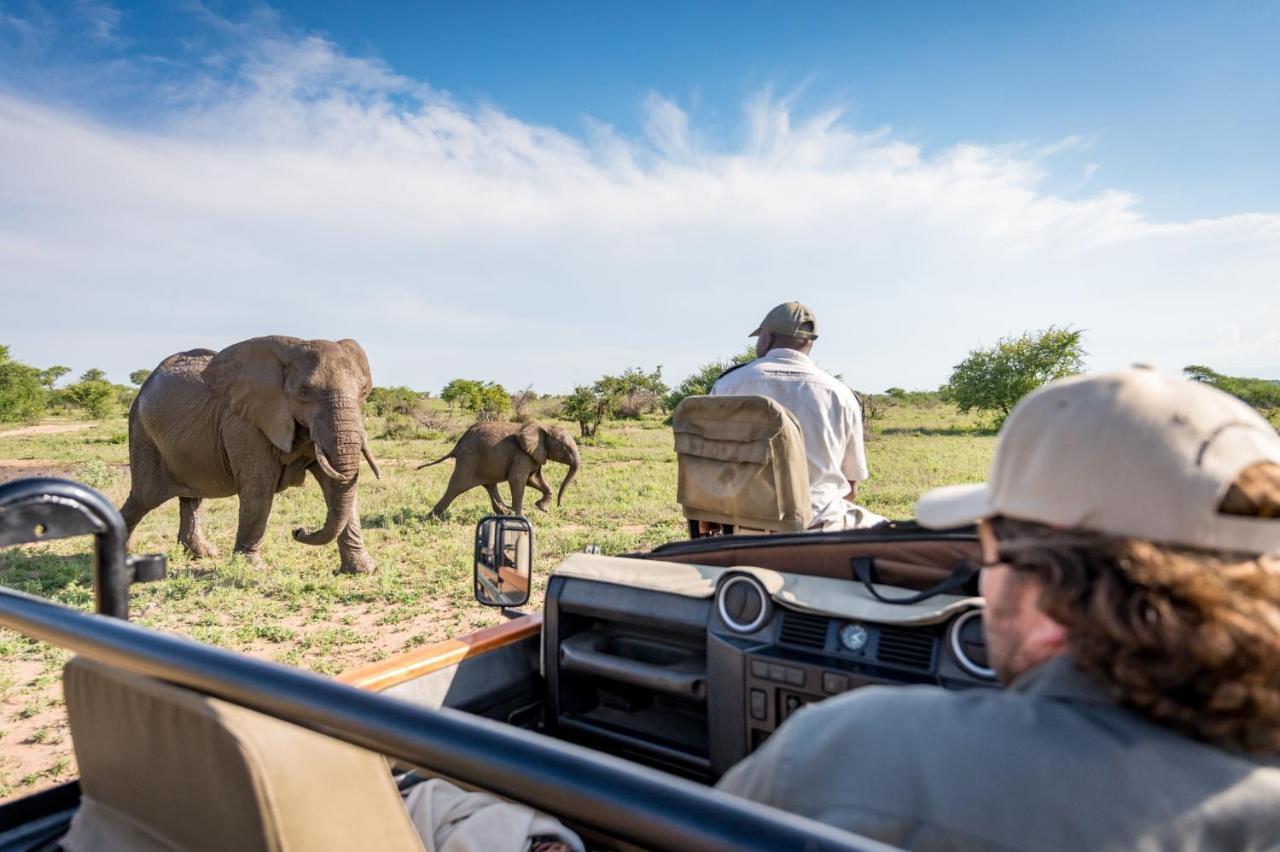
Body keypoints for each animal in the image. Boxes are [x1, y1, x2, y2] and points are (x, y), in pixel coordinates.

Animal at [121, 335, 381, 573]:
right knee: (145, 497)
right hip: (143, 432)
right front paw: (253, 568)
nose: (297, 530)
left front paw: (365, 569)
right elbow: (259, 487)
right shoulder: (245, 424)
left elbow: (336, 485)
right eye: (304, 392)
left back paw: (203, 554)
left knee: (191, 495)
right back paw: (123, 554)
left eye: (363, 391)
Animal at [419, 419, 581, 516]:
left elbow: (534, 480)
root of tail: (458, 444)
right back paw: (432, 519)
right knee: (456, 486)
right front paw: (521, 517)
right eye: (564, 448)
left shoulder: (535, 454)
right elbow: (517, 480)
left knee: (490, 485)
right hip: (469, 459)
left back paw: (504, 512)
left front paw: (542, 507)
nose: (559, 506)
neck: (546, 427)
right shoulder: (522, 454)